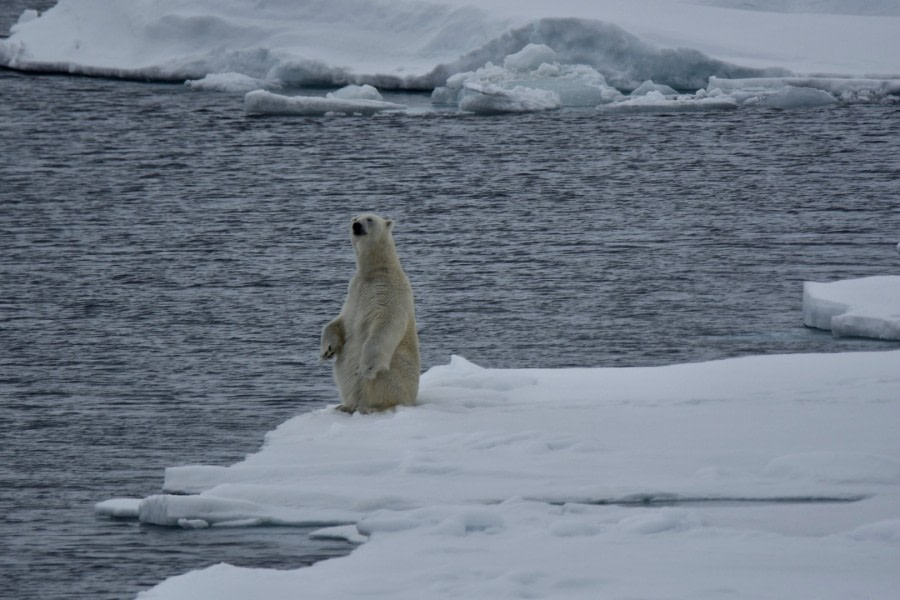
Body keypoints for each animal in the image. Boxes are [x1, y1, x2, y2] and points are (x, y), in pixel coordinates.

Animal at [320, 213, 422, 414]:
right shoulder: (354, 291)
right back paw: (344, 406)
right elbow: (342, 320)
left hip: (396, 370)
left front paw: (365, 368)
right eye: (354, 218)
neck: (376, 270)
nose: (356, 225)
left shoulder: (389, 292)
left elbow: (385, 325)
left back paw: (372, 406)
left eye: (369, 219)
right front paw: (327, 349)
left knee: (378, 382)